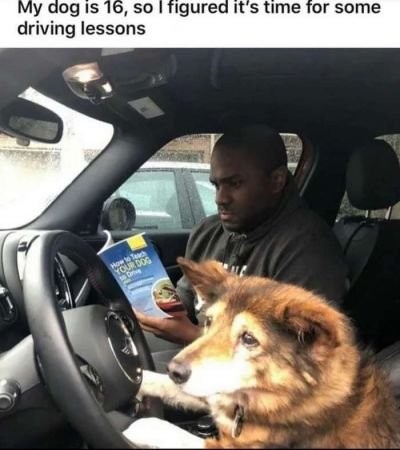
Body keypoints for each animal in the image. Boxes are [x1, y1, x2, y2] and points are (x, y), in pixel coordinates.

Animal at [124, 257, 400, 448]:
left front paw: (138, 426)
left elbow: (164, 430)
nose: (174, 370)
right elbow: (161, 382)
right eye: (209, 322)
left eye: (249, 339)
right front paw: (136, 381)